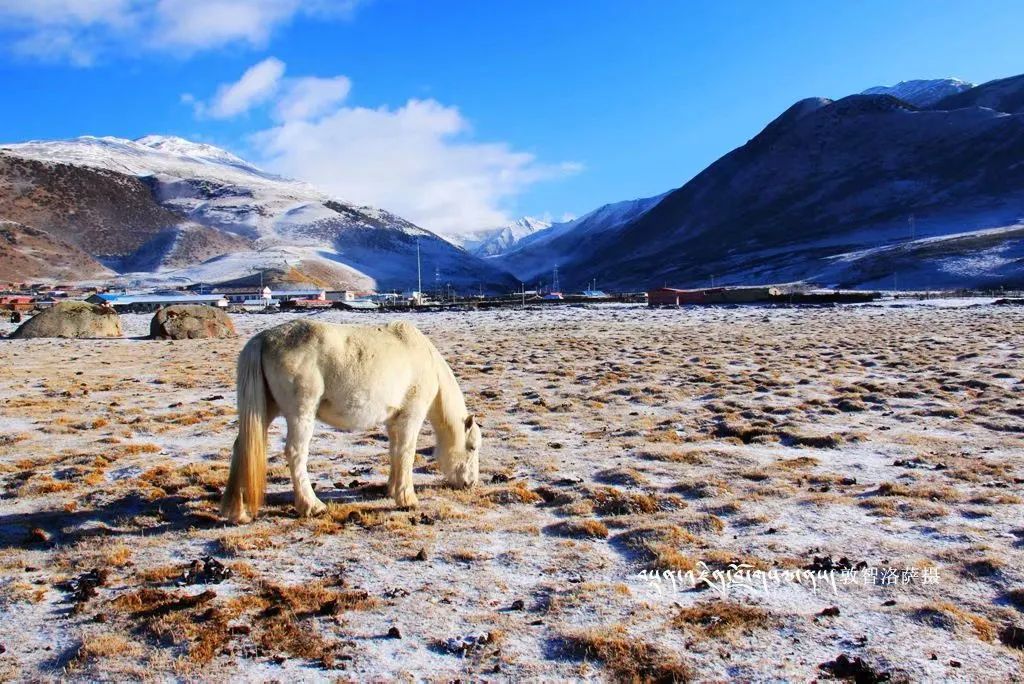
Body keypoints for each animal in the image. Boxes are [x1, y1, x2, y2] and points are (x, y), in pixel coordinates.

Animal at [222, 319, 477, 524]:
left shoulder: (393, 421)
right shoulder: (410, 417)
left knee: (243, 447)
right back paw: (312, 506)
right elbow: (406, 453)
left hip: (264, 411)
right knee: (295, 453)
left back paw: (237, 512)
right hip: (301, 413)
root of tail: (263, 338)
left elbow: (395, 452)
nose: (470, 484)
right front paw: (407, 499)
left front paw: (391, 489)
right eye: (472, 448)